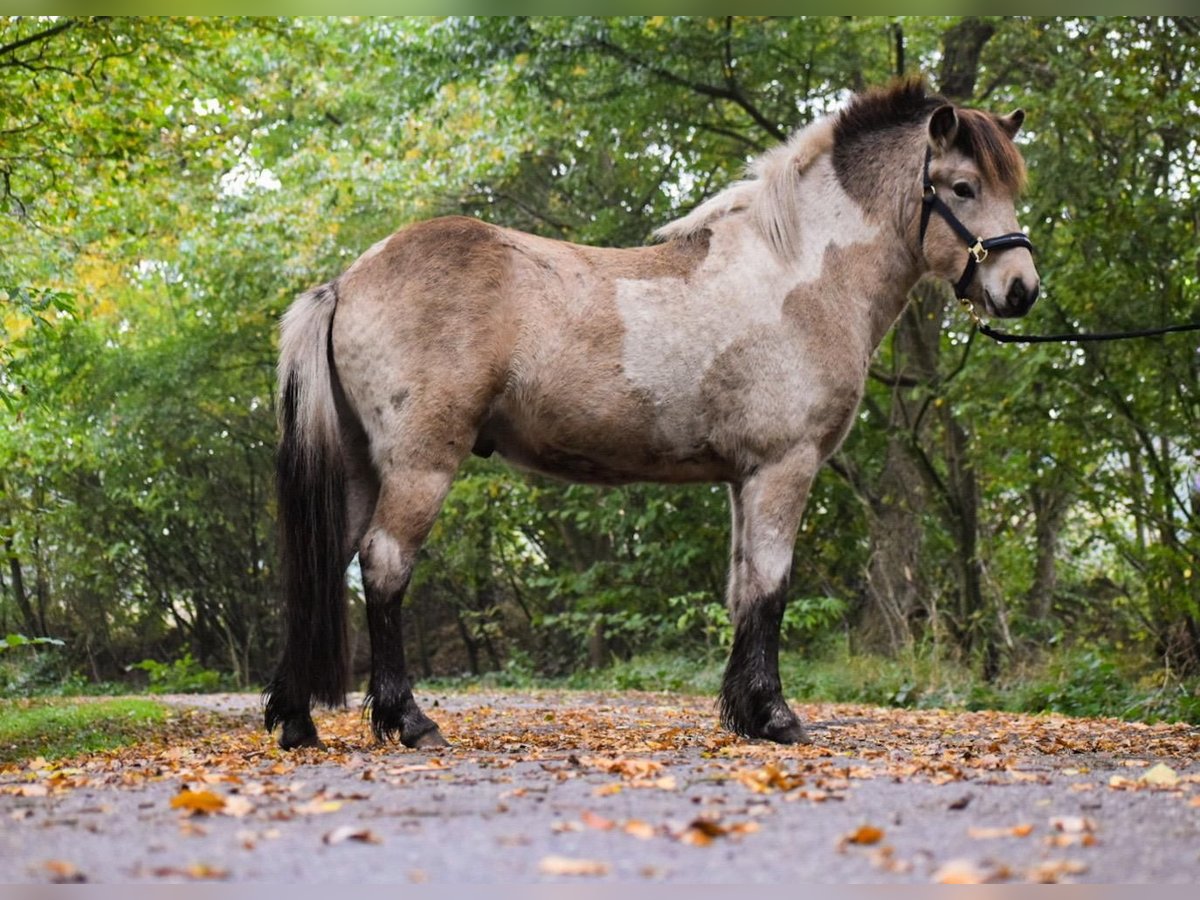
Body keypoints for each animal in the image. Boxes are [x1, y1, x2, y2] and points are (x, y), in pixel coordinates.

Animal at [265, 79, 1041, 753]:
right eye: (964, 187)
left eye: (1010, 187)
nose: (1022, 289)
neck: (798, 275)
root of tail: (346, 281)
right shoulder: (782, 468)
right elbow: (771, 588)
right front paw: (777, 717)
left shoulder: (744, 479)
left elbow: (742, 590)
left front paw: (746, 714)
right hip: (420, 466)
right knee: (385, 566)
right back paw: (408, 721)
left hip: (362, 469)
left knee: (324, 564)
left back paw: (296, 722)